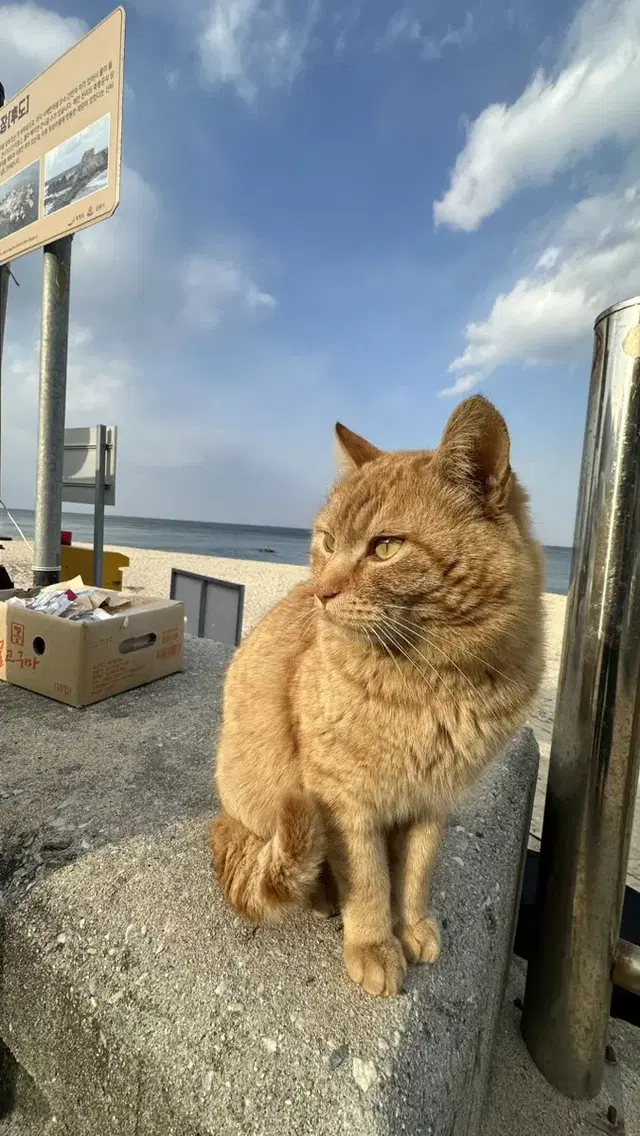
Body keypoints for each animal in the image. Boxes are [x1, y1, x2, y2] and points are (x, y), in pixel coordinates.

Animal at [210, 395, 545, 999]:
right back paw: (321, 896)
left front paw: (410, 927)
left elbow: (414, 874)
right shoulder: (343, 798)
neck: (433, 685)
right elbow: (367, 881)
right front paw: (372, 945)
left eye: (385, 547)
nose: (321, 593)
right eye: (326, 542)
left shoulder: (434, 800)